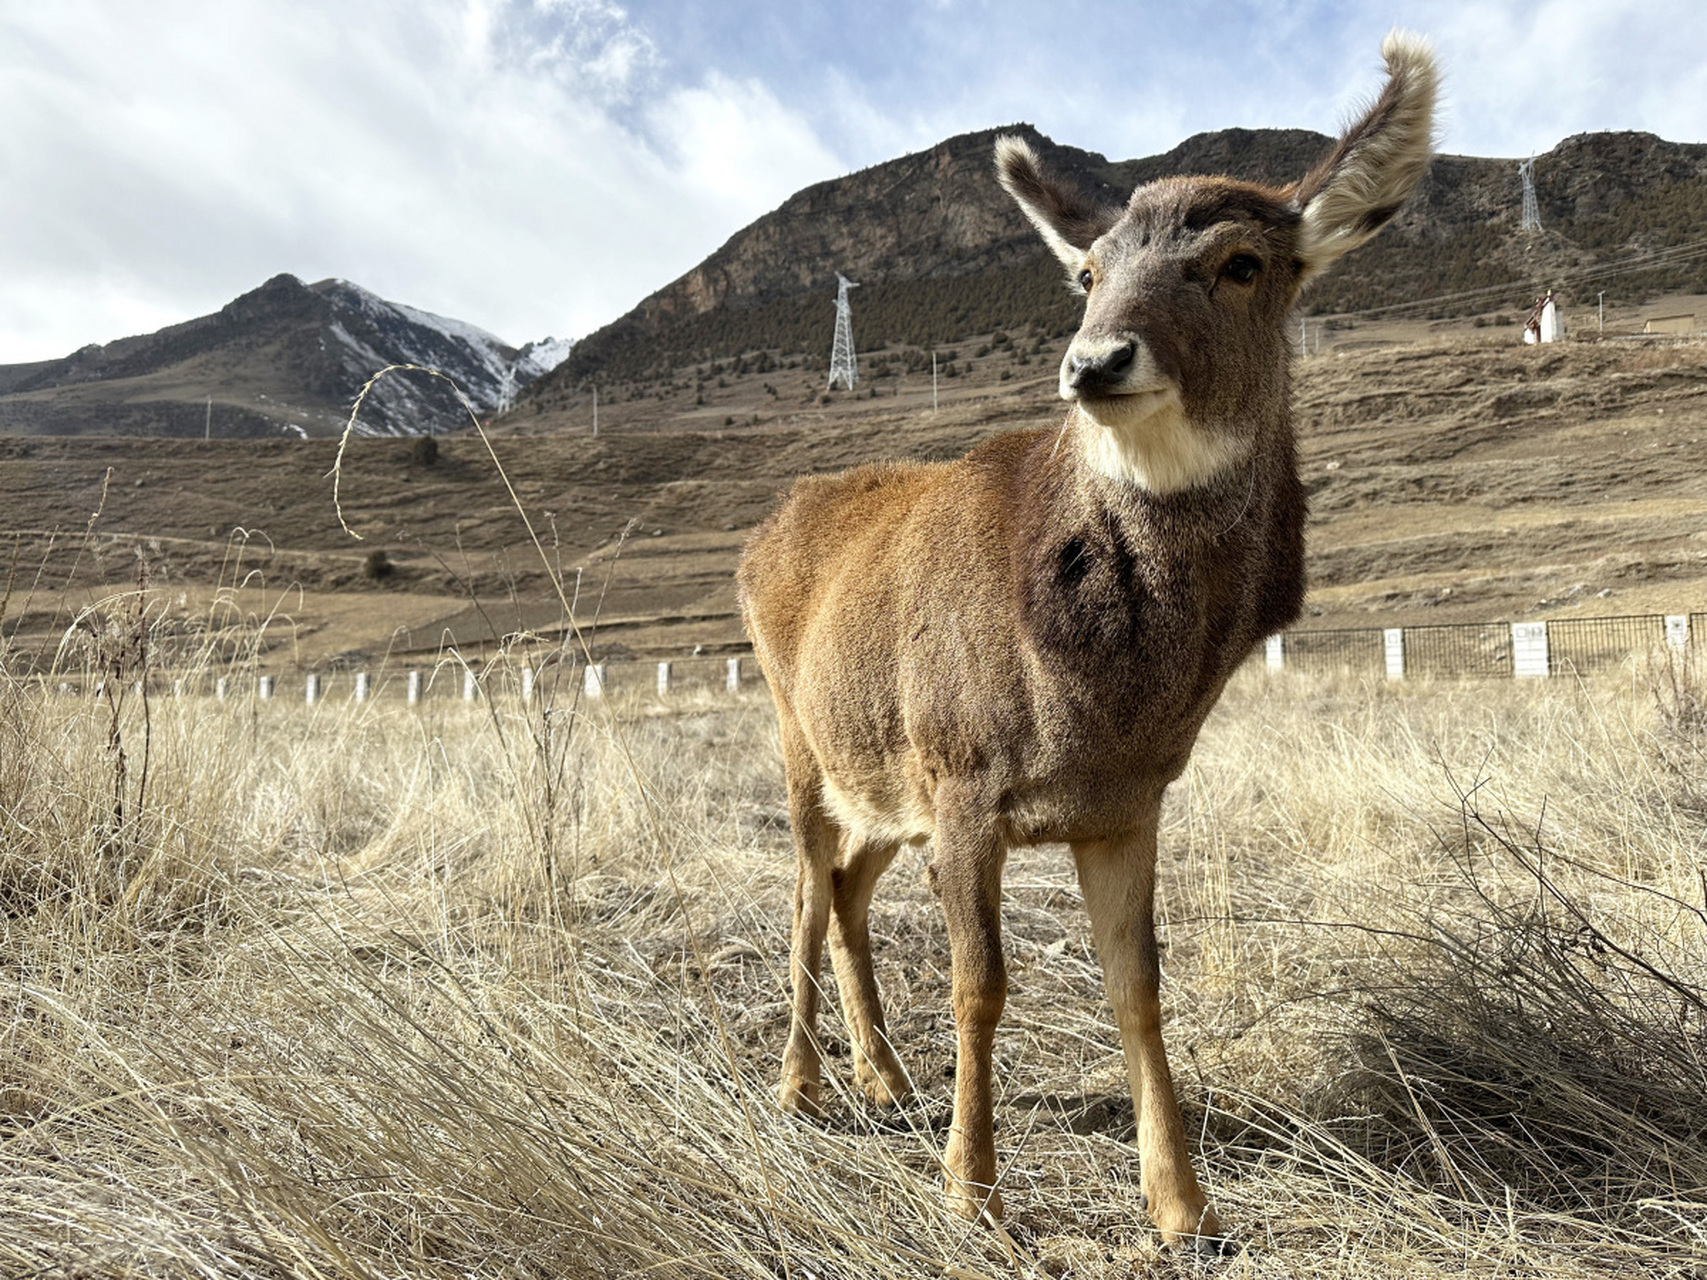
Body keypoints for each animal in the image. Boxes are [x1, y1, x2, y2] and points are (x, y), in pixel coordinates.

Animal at [737, 34, 1440, 1256]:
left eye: (1243, 261)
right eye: (1086, 270)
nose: (1094, 360)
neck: (1099, 701)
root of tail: (757, 537)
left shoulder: (1128, 799)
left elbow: (1137, 985)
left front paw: (1185, 1207)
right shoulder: (964, 769)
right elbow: (981, 983)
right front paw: (973, 1193)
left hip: (879, 769)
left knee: (848, 890)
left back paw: (883, 1076)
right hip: (800, 734)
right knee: (804, 897)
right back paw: (801, 1084)